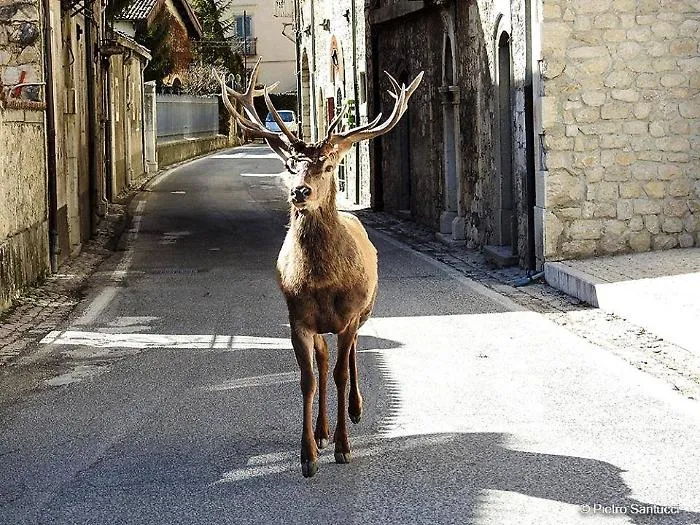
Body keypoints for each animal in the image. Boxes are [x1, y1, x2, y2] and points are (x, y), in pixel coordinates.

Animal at [216, 60, 423, 478]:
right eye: (289, 165)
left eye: (327, 165)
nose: (300, 191)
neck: (323, 282)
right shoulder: (298, 319)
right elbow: (308, 379)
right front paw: (308, 453)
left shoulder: (349, 316)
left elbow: (342, 374)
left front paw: (345, 447)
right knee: (325, 362)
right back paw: (323, 430)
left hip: (365, 311)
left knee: (353, 352)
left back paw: (355, 412)